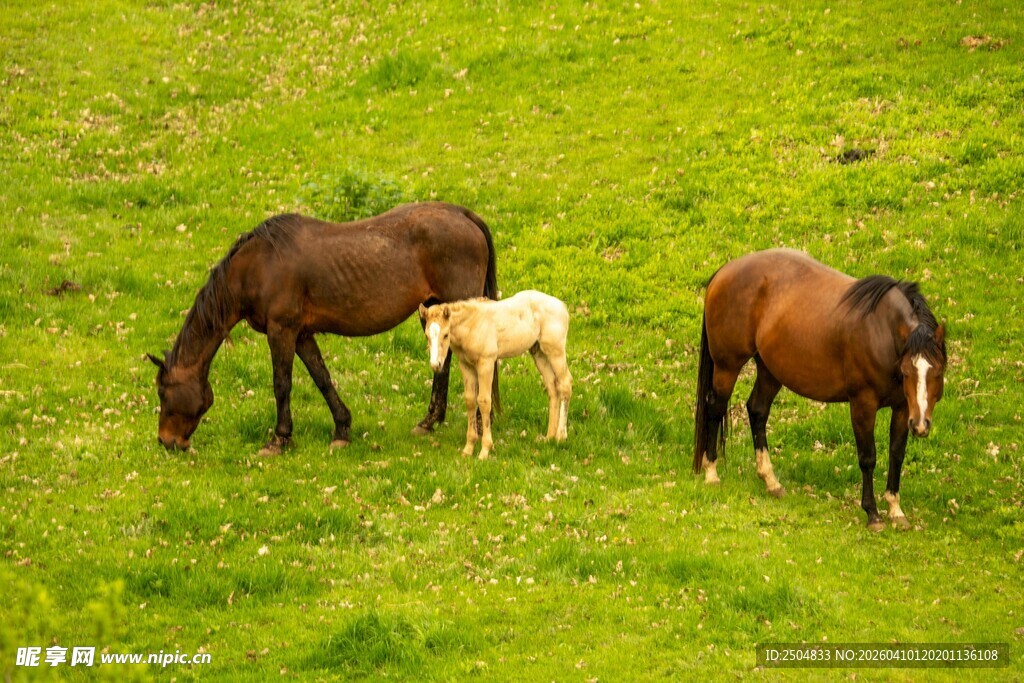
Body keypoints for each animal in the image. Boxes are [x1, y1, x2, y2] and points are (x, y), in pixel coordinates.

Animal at [148, 202, 498, 455]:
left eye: (163, 392)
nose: (166, 441)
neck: (259, 266)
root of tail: (464, 215)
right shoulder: (301, 335)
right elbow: (322, 379)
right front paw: (342, 429)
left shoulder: (281, 332)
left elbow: (282, 385)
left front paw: (279, 440)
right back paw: (430, 421)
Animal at [418, 290, 572, 459]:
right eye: (426, 336)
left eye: (446, 335)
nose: (436, 364)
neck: (472, 326)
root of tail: (562, 306)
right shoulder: (466, 366)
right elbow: (470, 400)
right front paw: (468, 448)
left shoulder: (486, 363)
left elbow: (484, 401)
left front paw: (485, 450)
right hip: (538, 353)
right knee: (552, 387)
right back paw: (549, 436)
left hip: (555, 351)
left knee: (565, 384)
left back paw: (561, 436)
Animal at [693, 249, 946, 530]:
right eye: (907, 372)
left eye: (937, 372)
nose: (921, 425)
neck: (881, 331)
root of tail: (723, 272)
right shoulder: (863, 404)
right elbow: (868, 457)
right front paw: (872, 513)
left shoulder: (903, 408)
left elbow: (896, 454)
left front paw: (895, 508)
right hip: (727, 366)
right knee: (715, 407)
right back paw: (711, 472)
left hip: (770, 371)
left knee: (757, 411)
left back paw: (771, 481)